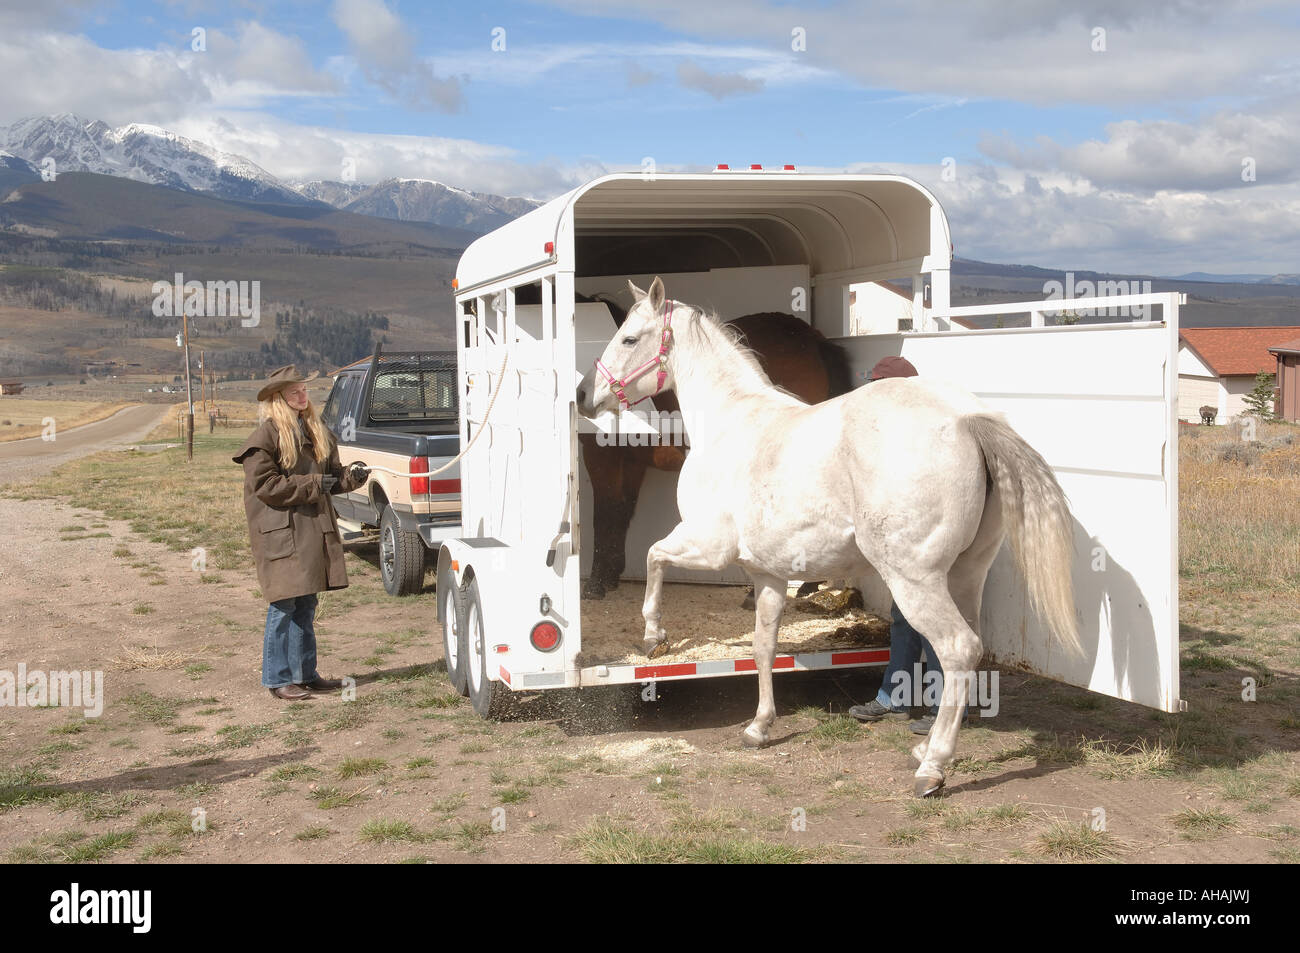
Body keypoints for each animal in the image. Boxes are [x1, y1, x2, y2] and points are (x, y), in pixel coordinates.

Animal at [579, 310, 852, 595]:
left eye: (629, 340)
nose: (583, 394)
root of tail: (811, 338)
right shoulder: (632, 462)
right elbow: (622, 510)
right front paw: (610, 574)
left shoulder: (600, 456)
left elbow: (605, 511)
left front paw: (597, 581)